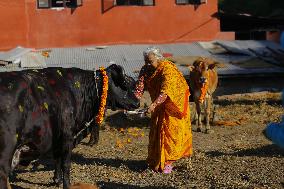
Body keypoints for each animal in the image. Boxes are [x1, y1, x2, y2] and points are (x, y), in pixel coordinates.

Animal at [0, 64, 140, 188]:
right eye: (124, 84)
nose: (137, 102)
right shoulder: (67, 135)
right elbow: (66, 164)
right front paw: (66, 184)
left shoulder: (57, 139)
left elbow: (57, 159)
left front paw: (57, 180)